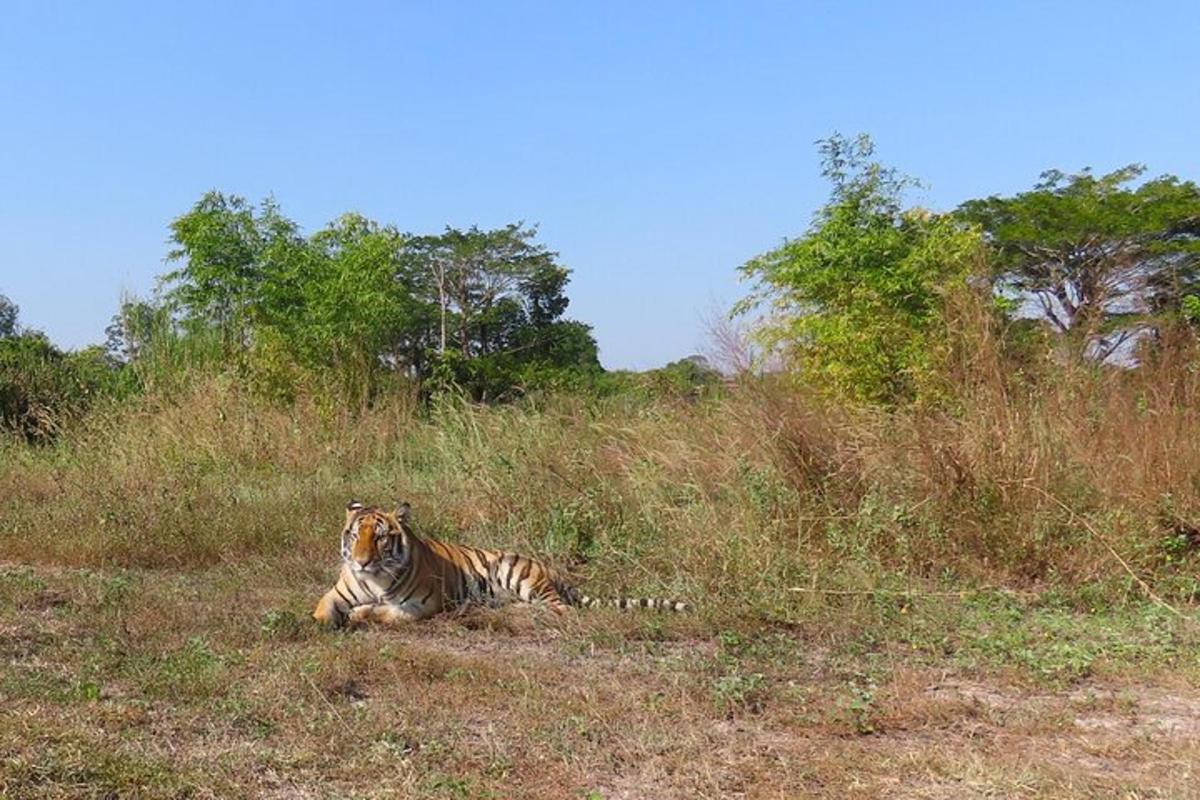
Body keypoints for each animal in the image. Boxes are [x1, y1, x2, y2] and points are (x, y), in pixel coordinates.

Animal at [312, 501, 686, 623]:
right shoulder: (336, 593)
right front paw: (327, 623)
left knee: (559, 608)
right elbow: (323, 609)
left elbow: (386, 613)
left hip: (516, 573)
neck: (373, 579)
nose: (361, 562)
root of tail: (550, 568)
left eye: (379, 537)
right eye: (354, 535)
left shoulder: (423, 606)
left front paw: (359, 615)